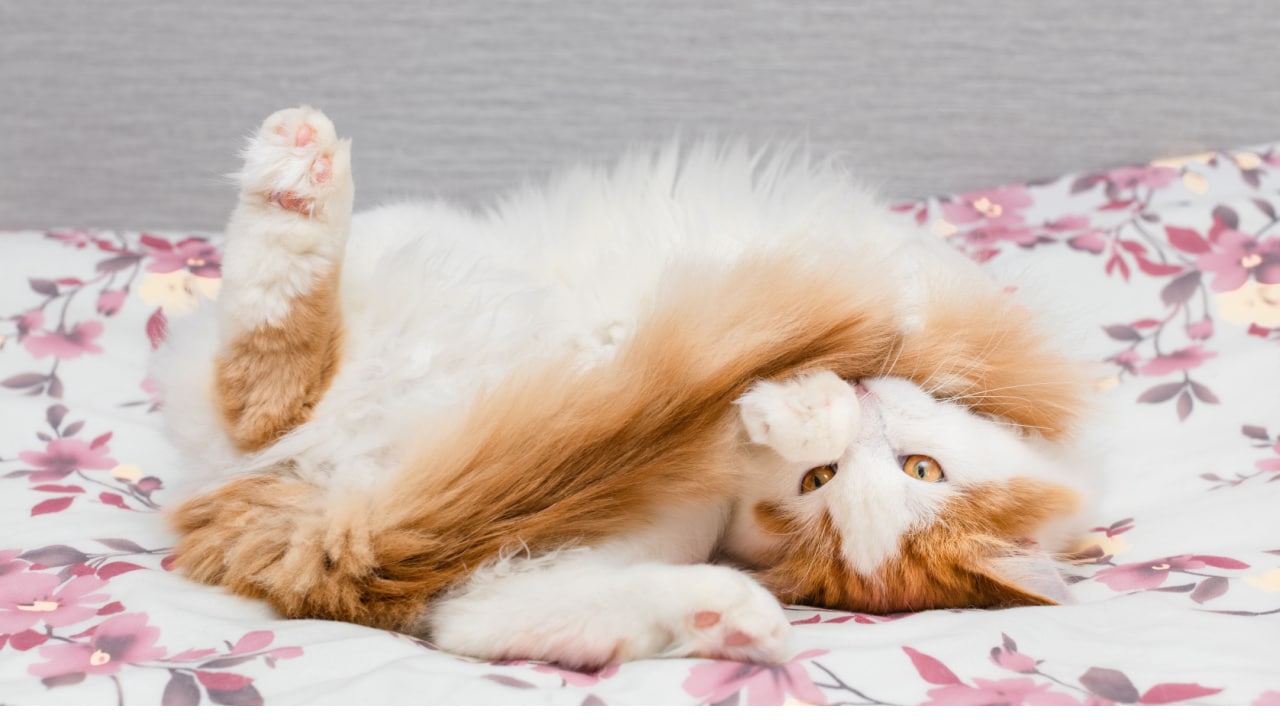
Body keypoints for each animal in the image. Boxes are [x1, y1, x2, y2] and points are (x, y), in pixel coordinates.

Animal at [149, 105, 1090, 666]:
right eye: (923, 469)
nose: (860, 424)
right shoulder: (944, 317)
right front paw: (807, 397)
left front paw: (792, 405)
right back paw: (298, 179)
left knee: (270, 390)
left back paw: (726, 617)